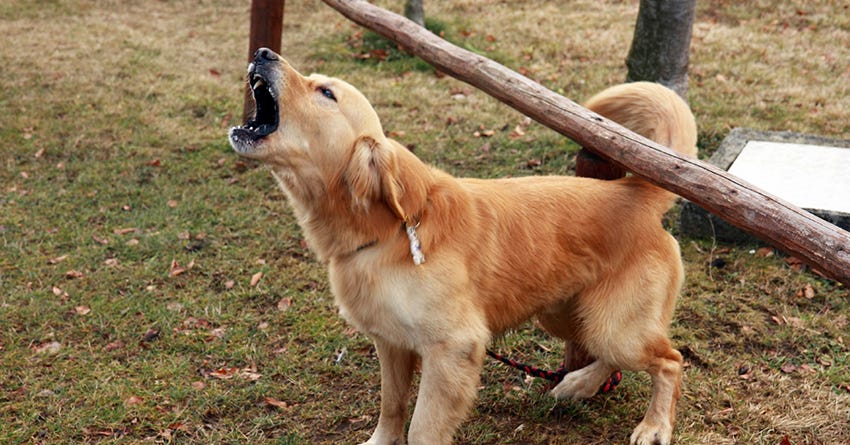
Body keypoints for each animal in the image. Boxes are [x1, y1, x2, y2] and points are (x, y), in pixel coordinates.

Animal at [227, 48, 696, 444]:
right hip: (565, 316)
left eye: (325, 92)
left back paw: (654, 425)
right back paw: (580, 383)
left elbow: (422, 428)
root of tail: (634, 190)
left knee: (671, 360)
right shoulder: (391, 343)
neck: (385, 234)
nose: (263, 53)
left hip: (612, 326)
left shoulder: (453, 350)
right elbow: (391, 407)